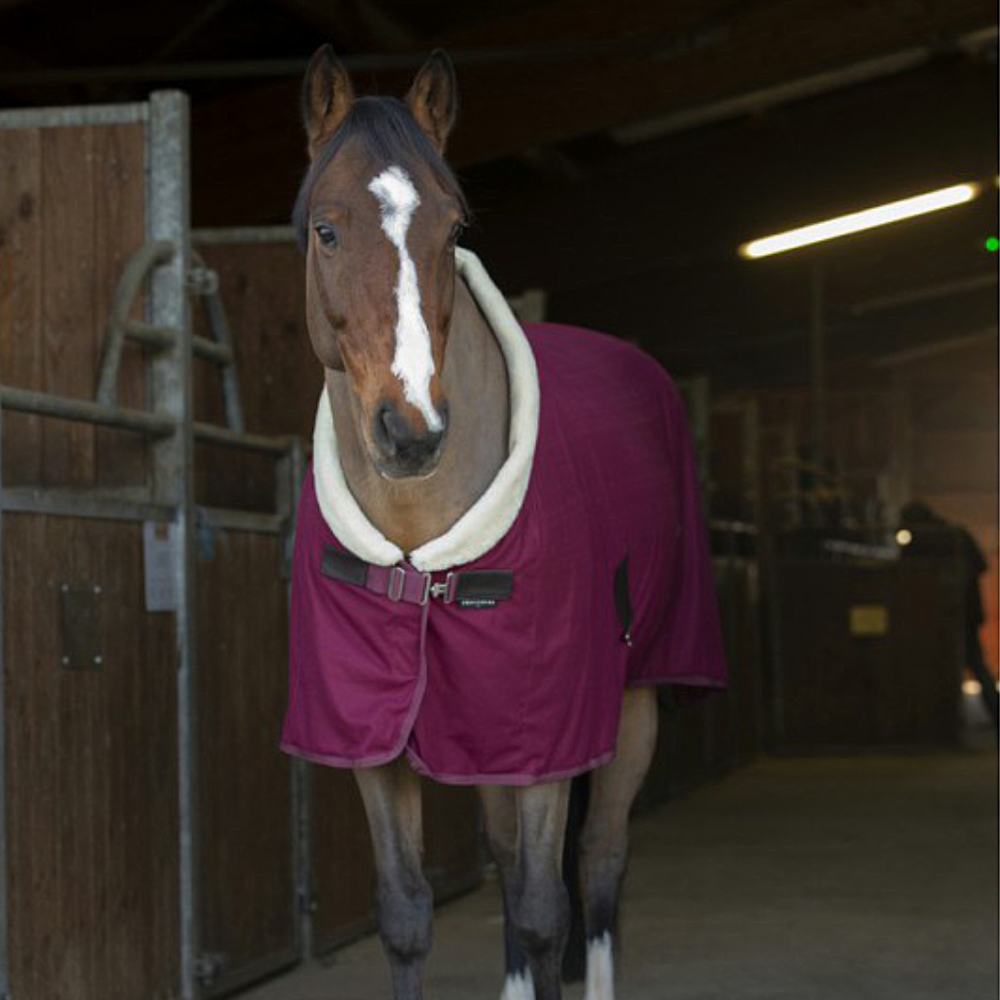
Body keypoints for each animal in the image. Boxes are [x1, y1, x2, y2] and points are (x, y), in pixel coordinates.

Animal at [282, 43, 728, 996]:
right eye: (327, 230)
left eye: (453, 230)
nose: (411, 431)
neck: (420, 552)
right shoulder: (375, 743)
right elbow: (407, 916)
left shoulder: (545, 741)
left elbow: (540, 909)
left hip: (633, 705)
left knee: (598, 862)